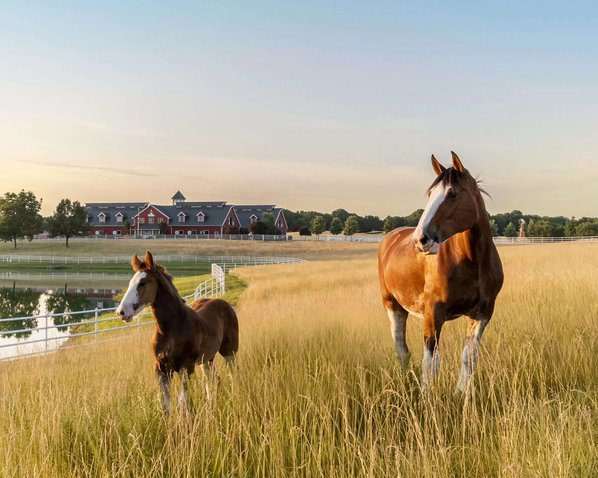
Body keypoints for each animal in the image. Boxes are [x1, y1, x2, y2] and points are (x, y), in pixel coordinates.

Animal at [116, 252, 240, 412]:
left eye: (142, 283)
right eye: (130, 282)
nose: (121, 312)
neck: (170, 329)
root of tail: (224, 303)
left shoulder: (186, 367)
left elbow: (183, 402)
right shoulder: (161, 368)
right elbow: (165, 404)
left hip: (229, 352)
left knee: (233, 374)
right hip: (207, 359)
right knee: (212, 380)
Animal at [380, 153, 506, 392]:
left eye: (452, 194)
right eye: (431, 194)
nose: (420, 239)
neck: (473, 263)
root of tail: (391, 237)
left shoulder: (482, 314)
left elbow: (469, 357)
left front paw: (461, 394)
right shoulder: (433, 313)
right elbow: (431, 362)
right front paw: (426, 397)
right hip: (392, 305)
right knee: (401, 348)